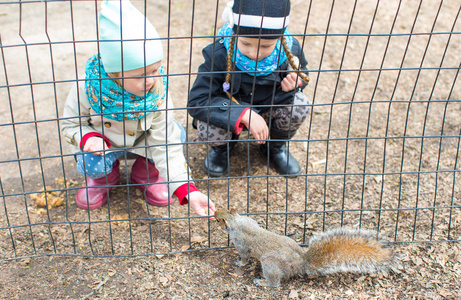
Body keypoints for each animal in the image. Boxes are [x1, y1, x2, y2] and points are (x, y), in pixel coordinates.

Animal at [214, 207, 398, 288]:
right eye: (222, 209)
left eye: (218, 220)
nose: (214, 213)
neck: (237, 222)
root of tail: (303, 262)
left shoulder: (241, 243)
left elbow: (245, 256)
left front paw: (240, 263)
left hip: (270, 263)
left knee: (275, 282)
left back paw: (263, 282)